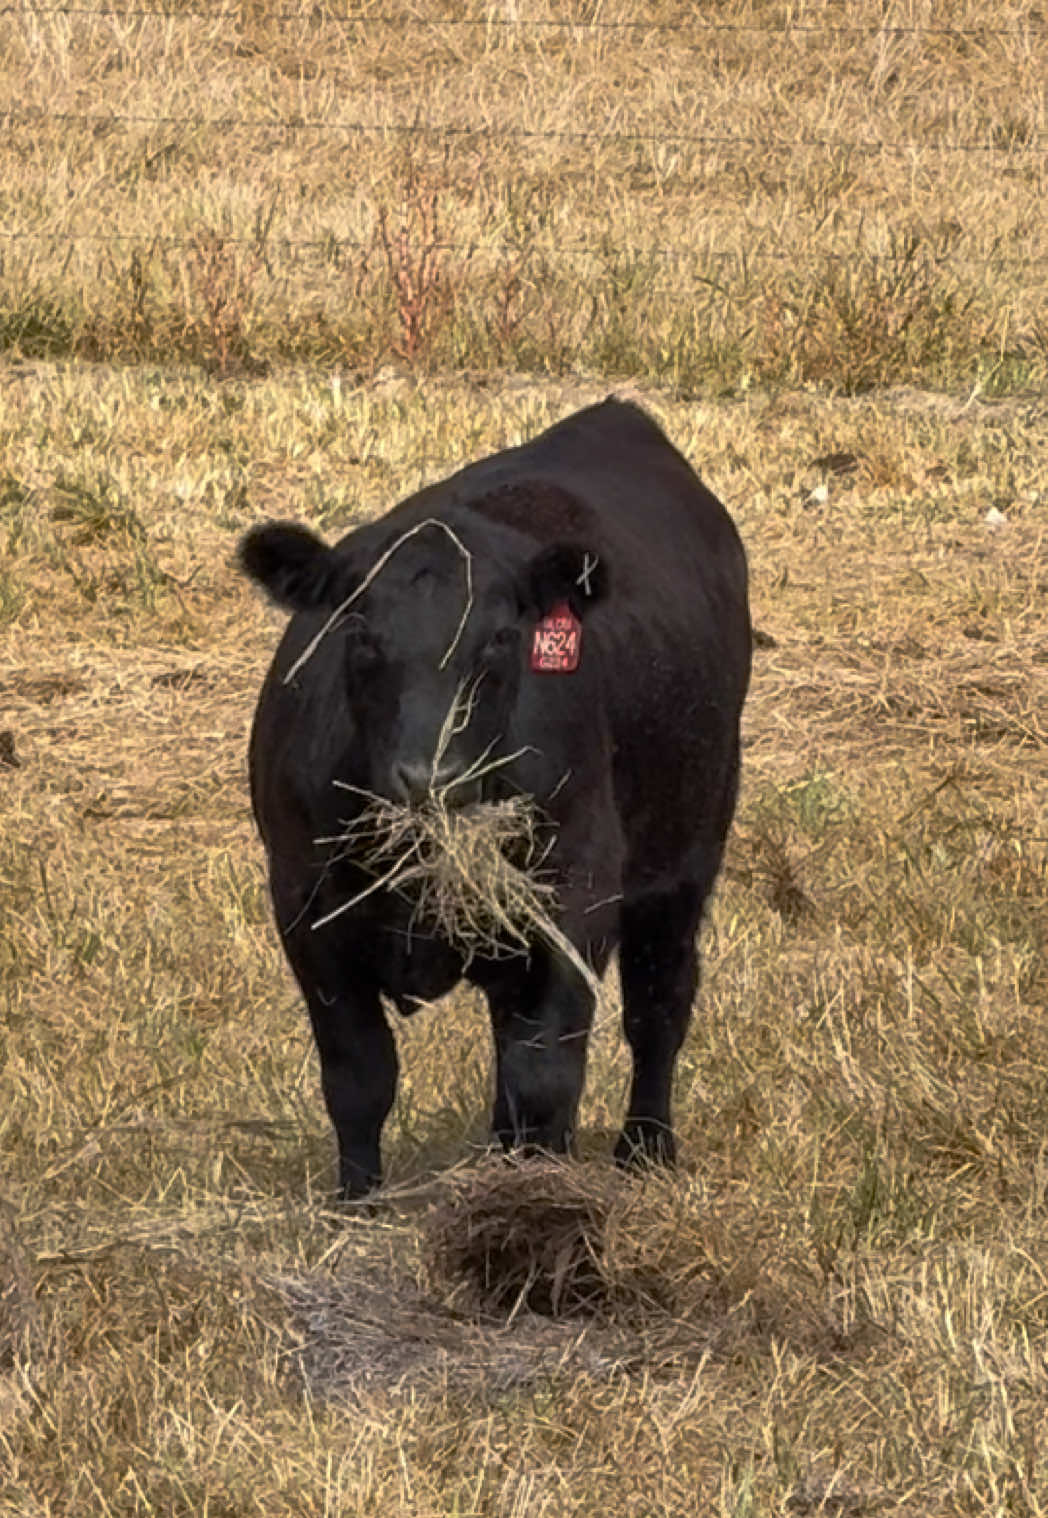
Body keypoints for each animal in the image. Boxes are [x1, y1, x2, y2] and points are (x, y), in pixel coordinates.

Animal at [239, 398, 751, 1198]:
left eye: (500, 640)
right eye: (361, 635)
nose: (431, 779)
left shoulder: (574, 893)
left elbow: (546, 1074)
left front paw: (535, 1203)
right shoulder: (304, 905)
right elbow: (358, 1074)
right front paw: (358, 1203)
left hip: (687, 854)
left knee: (658, 1007)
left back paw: (644, 1150)